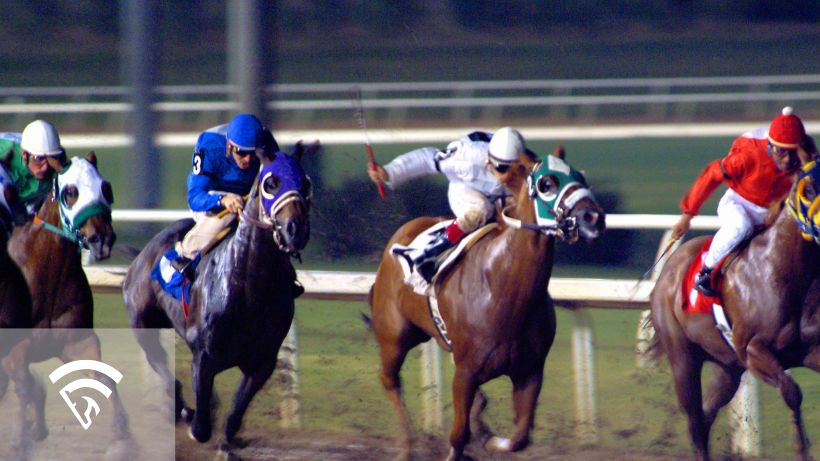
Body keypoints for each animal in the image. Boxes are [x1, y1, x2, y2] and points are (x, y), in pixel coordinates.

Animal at [1, 153, 128, 458]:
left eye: (106, 187)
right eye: (71, 192)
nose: (102, 238)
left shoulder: (77, 341)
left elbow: (104, 380)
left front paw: (121, 442)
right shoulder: (14, 350)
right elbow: (24, 387)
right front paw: (19, 442)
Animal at [122, 146, 314, 452]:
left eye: (305, 183)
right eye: (270, 183)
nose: (295, 229)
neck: (249, 288)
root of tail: (143, 254)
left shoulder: (262, 362)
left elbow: (233, 419)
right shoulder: (205, 356)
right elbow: (201, 429)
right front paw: (194, 418)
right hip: (143, 324)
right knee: (163, 368)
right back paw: (181, 409)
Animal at [368, 147, 604, 460]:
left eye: (581, 176)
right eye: (547, 184)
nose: (593, 217)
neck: (504, 288)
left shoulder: (530, 372)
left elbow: (520, 437)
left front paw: (489, 438)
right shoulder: (466, 373)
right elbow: (458, 435)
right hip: (394, 336)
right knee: (389, 379)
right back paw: (407, 446)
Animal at [652, 159, 816, 460]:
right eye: (808, 190)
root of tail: (667, 270)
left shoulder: (810, 349)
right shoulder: (754, 351)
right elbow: (792, 391)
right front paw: (801, 449)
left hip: (727, 366)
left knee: (706, 414)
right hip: (682, 357)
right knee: (694, 419)